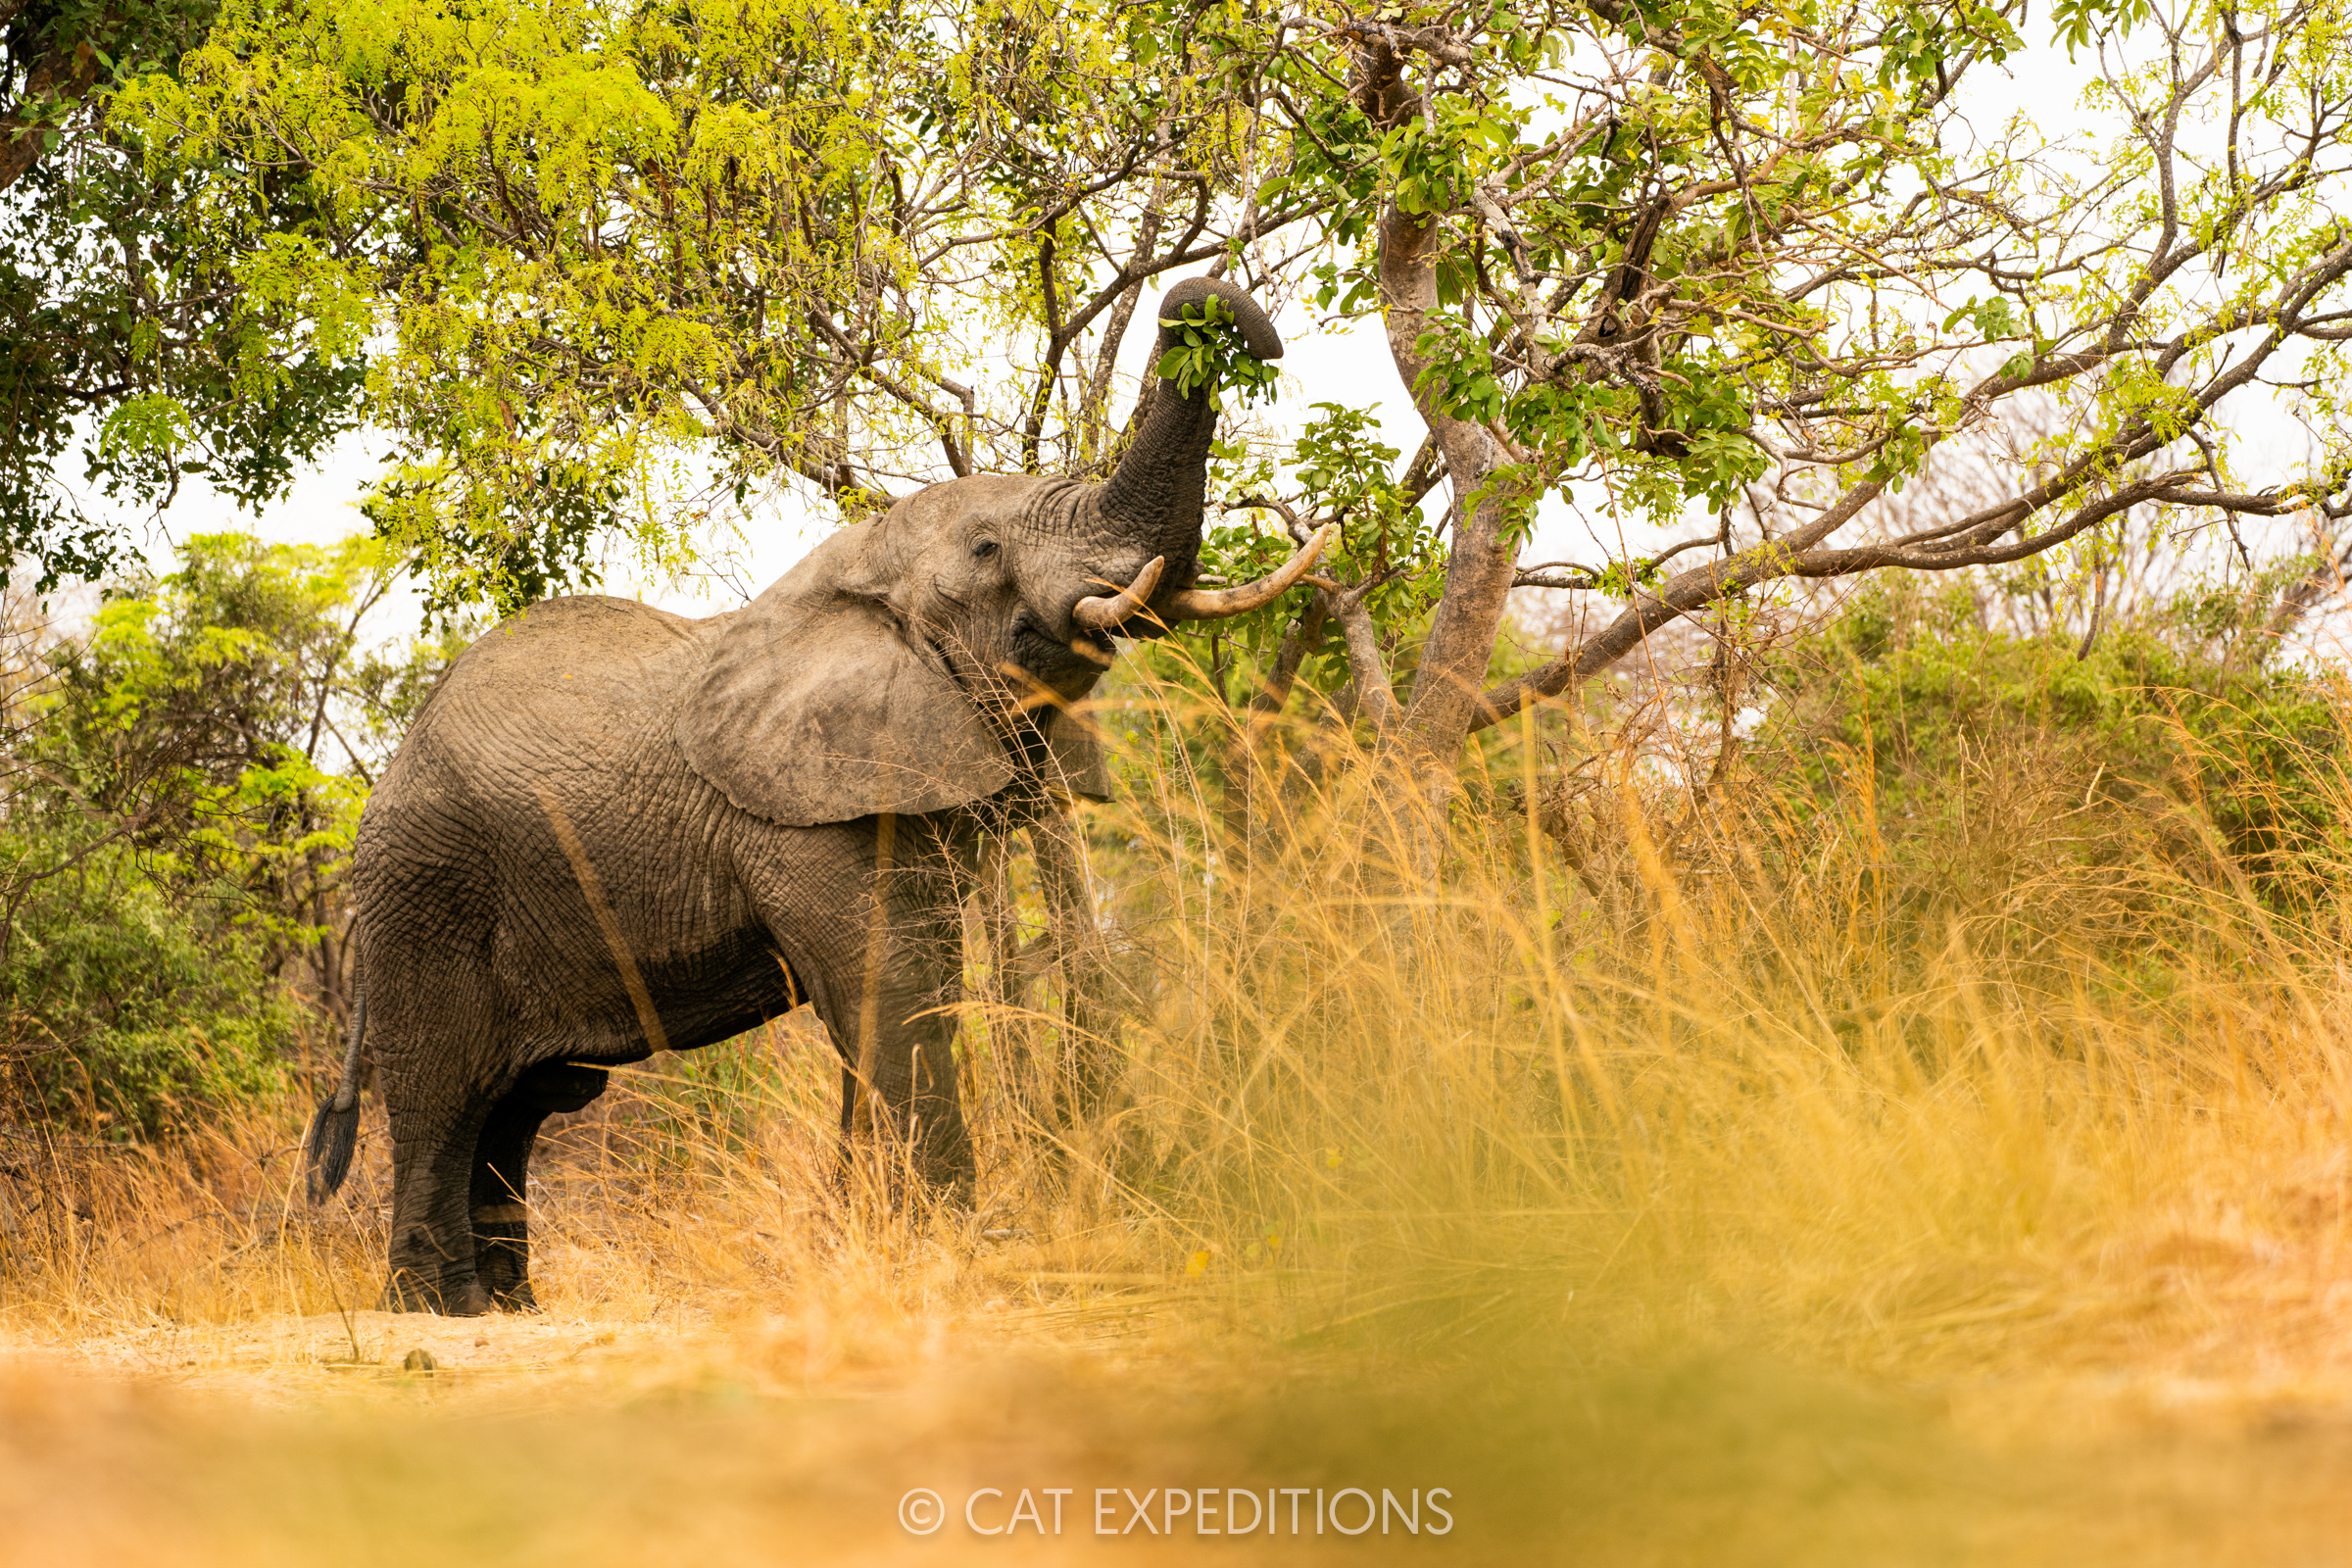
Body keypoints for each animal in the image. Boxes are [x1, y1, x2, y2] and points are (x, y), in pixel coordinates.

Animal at [301, 277, 1331, 1314]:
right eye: (987, 548)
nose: (1221, 315)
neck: (851, 577)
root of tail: (391, 773)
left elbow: (914, 989)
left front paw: (883, 1237)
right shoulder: (798, 821)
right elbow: (893, 989)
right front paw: (956, 1246)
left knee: (526, 1101)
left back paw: (511, 1305)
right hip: (426, 892)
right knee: (445, 1096)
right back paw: (439, 1307)